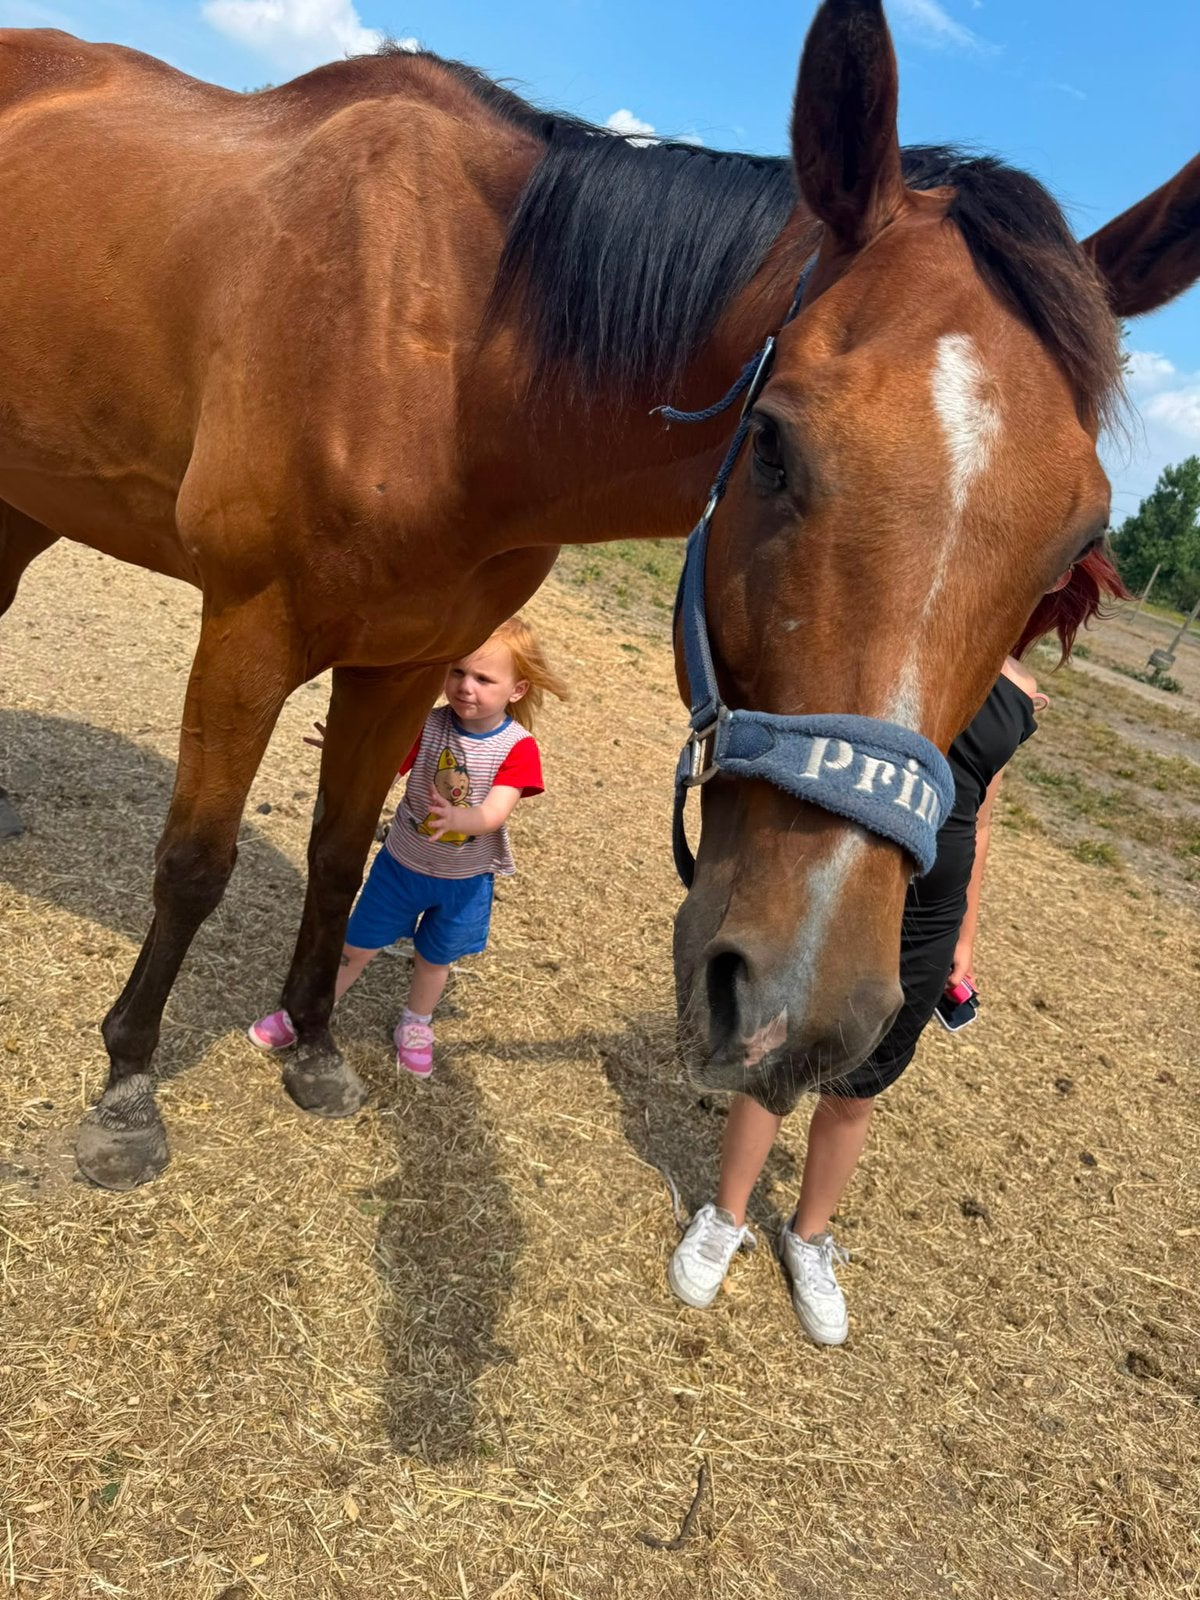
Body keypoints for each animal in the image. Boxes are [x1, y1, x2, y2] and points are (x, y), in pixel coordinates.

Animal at [0, 2, 1196, 1188]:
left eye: (1076, 544)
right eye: (771, 445)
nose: (800, 1009)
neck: (444, 355)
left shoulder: (401, 661)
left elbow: (342, 854)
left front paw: (315, 1048)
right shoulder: (249, 632)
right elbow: (195, 863)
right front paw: (128, 1087)